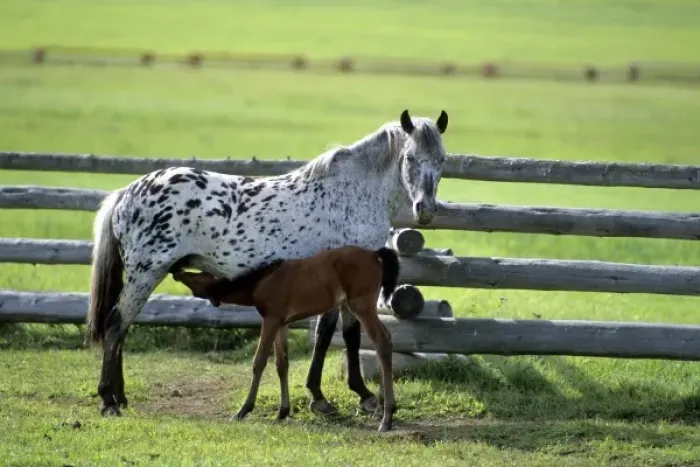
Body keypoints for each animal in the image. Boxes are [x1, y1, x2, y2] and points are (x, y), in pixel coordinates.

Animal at [171, 245, 400, 432]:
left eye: (198, 277)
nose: (176, 270)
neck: (262, 281)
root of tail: (374, 254)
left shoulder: (271, 319)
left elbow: (259, 361)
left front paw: (243, 410)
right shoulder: (282, 323)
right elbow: (282, 364)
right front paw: (282, 412)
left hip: (361, 306)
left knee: (382, 342)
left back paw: (386, 418)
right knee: (387, 339)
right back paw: (382, 408)